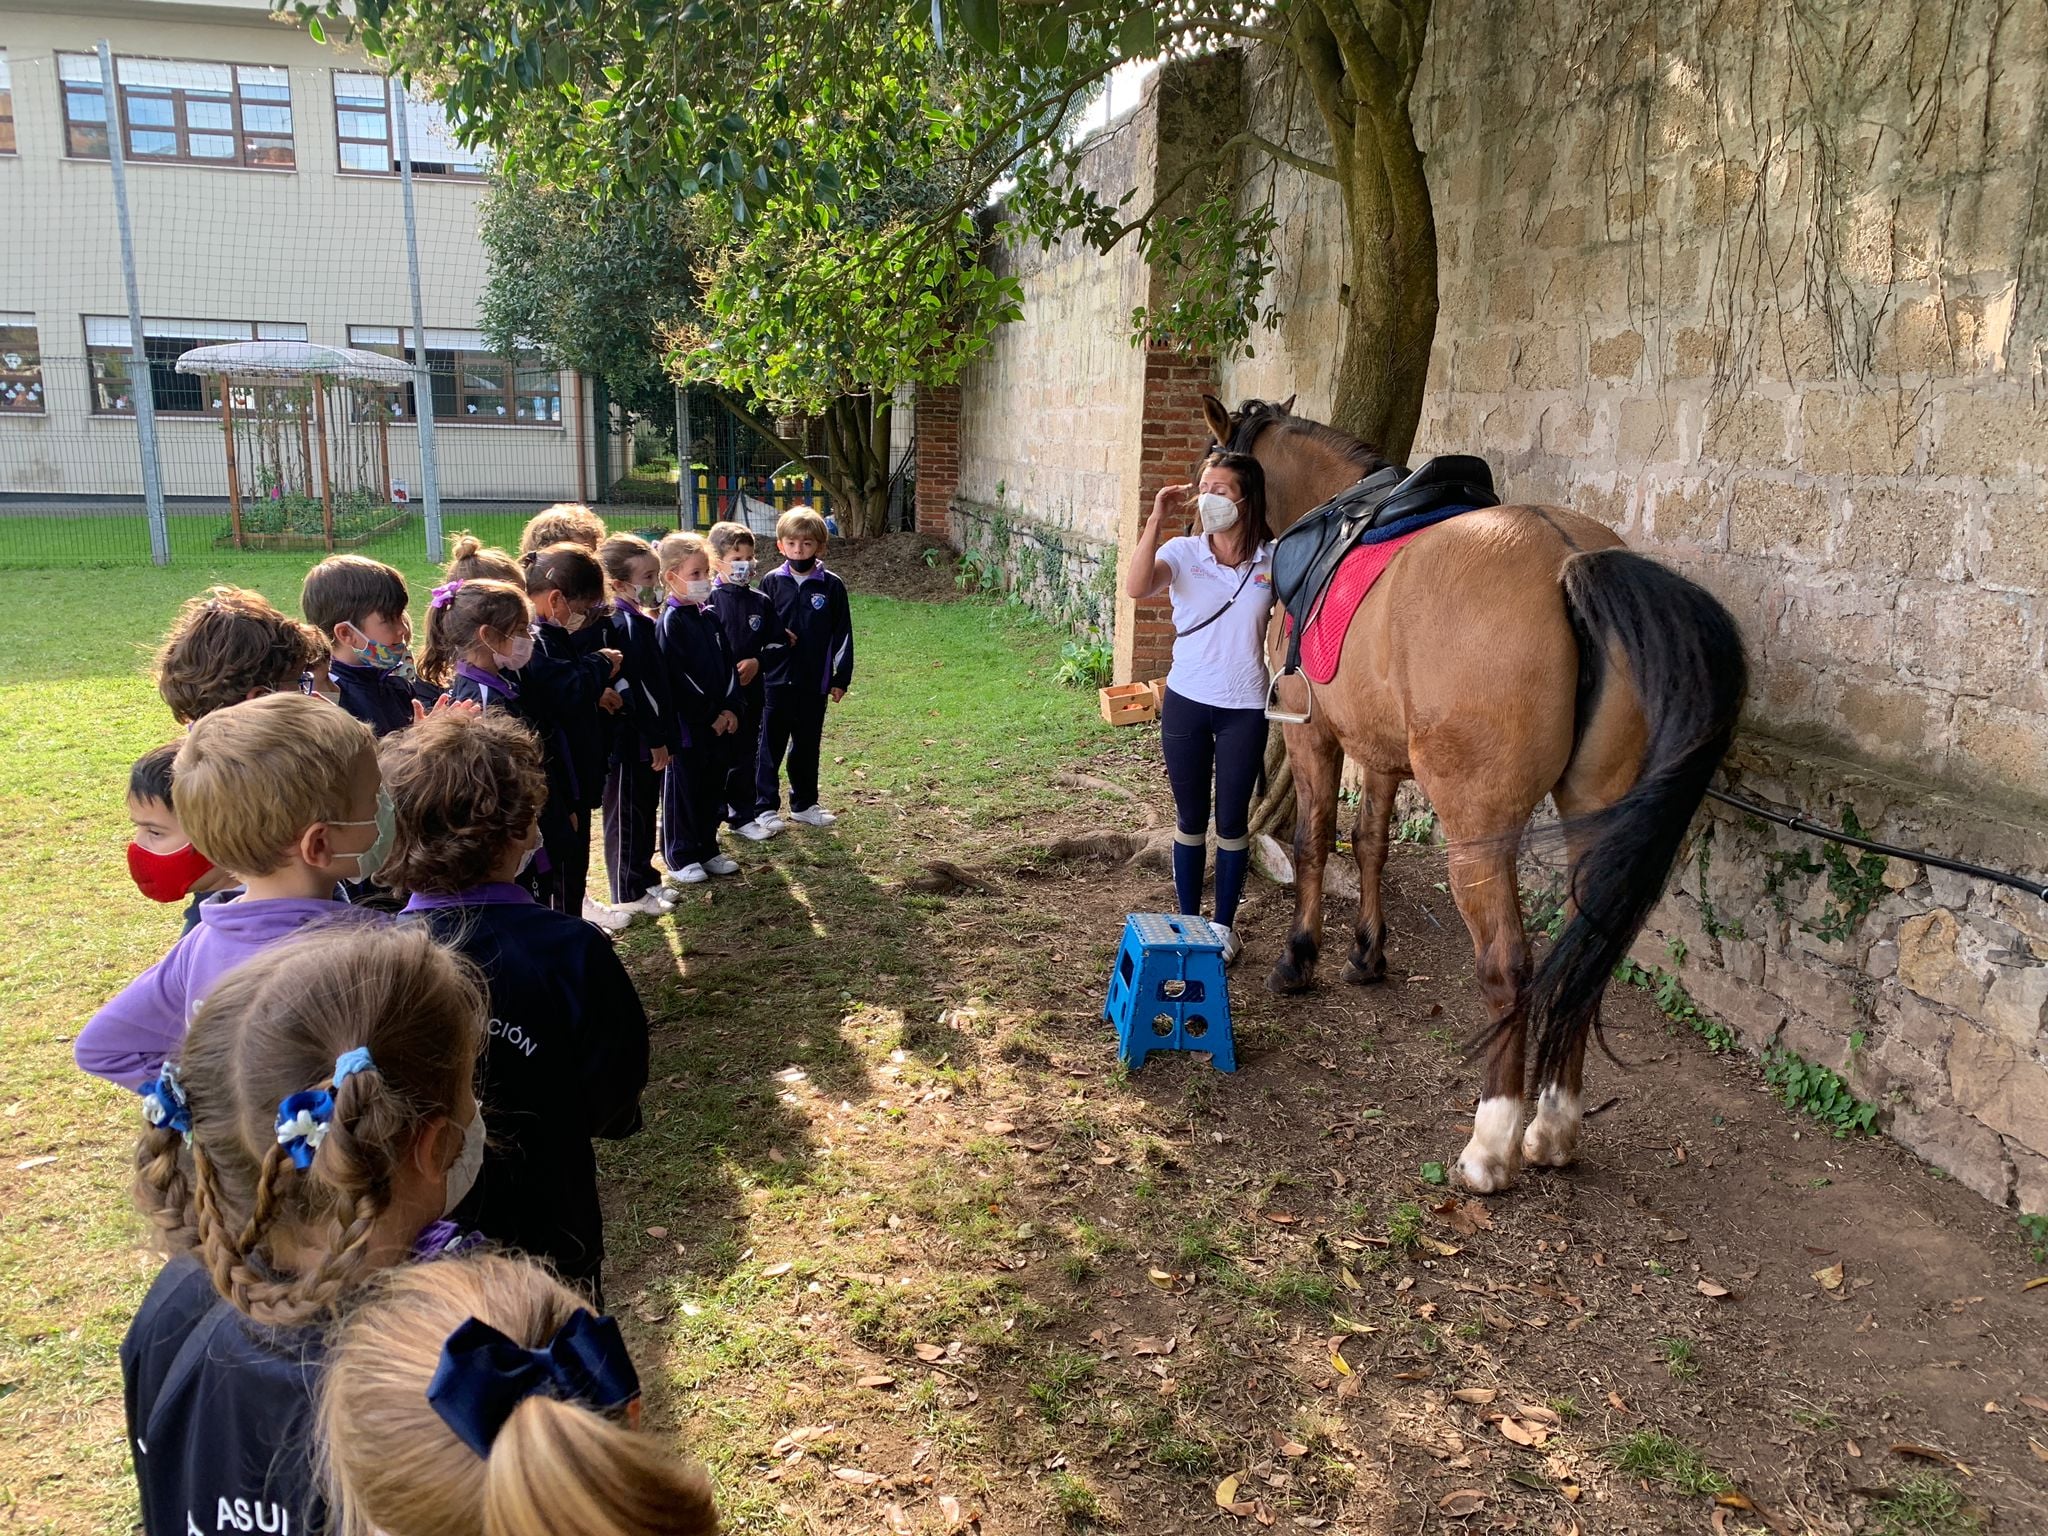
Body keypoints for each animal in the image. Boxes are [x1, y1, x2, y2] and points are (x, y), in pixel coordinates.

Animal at [1204, 395, 1748, 1192]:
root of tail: (1570, 563)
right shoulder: (1381, 752)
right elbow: (1370, 844)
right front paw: (1367, 955)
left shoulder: (1315, 737)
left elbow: (1312, 843)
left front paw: (1300, 959)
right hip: (1593, 815)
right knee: (1584, 953)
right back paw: (1553, 1128)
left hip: (1477, 828)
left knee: (1508, 964)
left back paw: (1491, 1144)